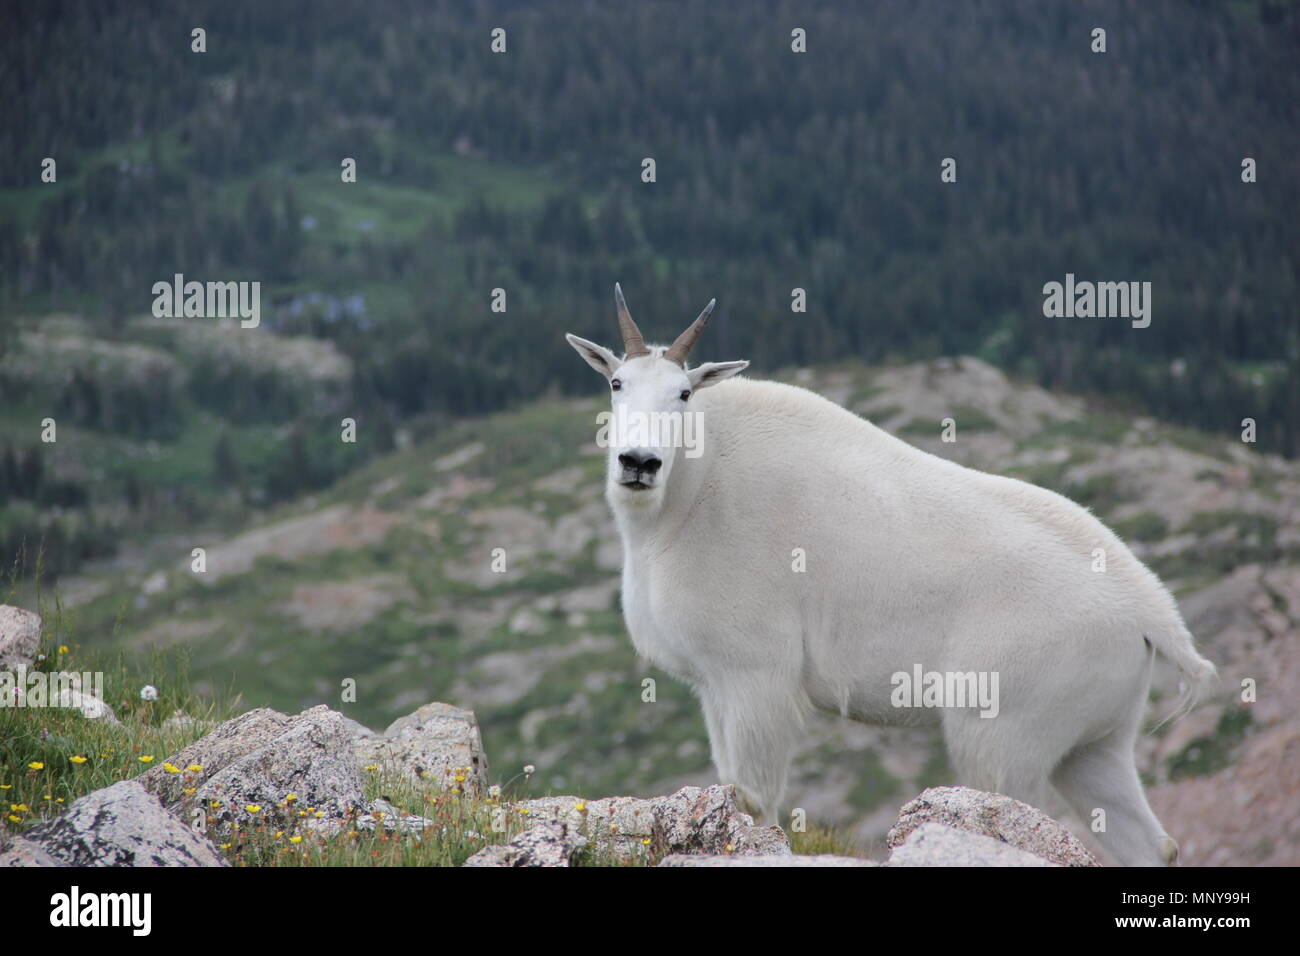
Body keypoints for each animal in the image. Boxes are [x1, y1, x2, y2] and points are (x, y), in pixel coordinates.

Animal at [566, 286, 1216, 868]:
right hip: (1096, 744)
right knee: (1149, 842)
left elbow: (755, 803)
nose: (639, 463)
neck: (689, 495)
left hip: (1006, 735)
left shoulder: (756, 678)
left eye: (682, 393)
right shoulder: (715, 687)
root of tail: (1153, 615)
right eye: (617, 383)